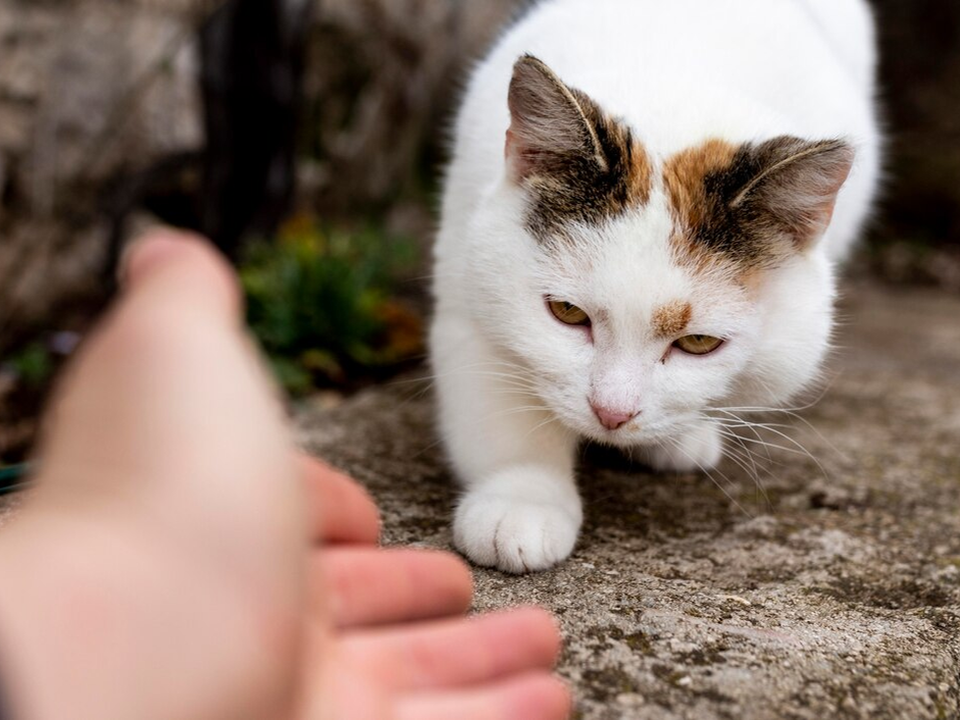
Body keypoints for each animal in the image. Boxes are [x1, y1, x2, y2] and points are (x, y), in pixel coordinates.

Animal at [432, 0, 880, 572]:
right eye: (567, 313)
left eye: (698, 343)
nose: (611, 414)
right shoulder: (465, 284)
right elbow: (501, 410)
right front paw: (520, 500)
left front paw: (681, 434)